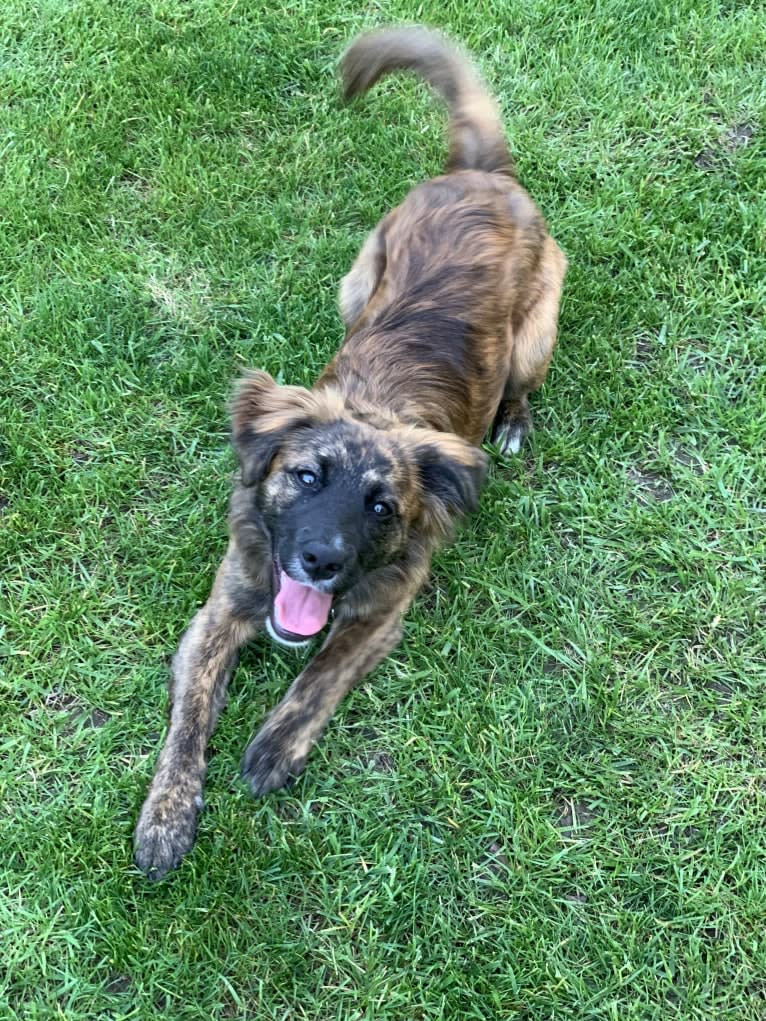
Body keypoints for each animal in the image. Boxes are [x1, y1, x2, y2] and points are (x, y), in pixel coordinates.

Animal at [131, 27, 567, 882]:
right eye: (306, 476)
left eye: (381, 506)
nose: (322, 560)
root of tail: (484, 173)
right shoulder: (218, 611)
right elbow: (186, 720)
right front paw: (166, 814)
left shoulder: (385, 612)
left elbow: (319, 673)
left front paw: (274, 744)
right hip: (355, 280)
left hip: (538, 332)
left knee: (522, 385)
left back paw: (513, 422)